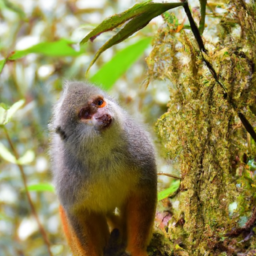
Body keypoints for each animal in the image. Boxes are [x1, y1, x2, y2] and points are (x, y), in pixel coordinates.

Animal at [50, 81, 157, 256]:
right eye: (86, 113)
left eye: (99, 103)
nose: (102, 114)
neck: (102, 151)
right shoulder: (68, 175)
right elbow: (77, 212)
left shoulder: (139, 146)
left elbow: (143, 190)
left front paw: (137, 250)